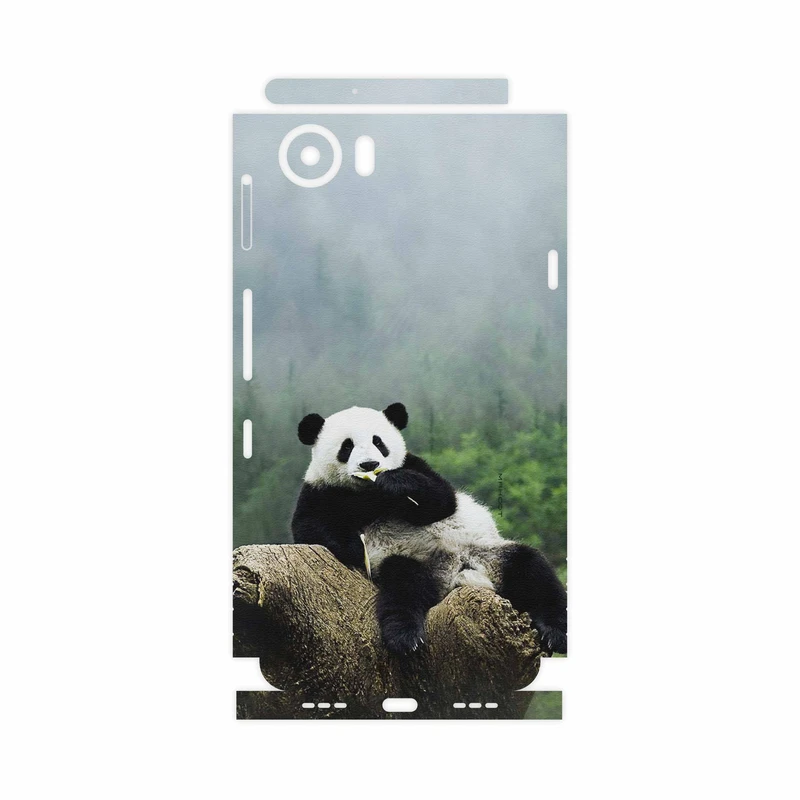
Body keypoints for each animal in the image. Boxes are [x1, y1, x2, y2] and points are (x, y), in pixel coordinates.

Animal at [292, 403, 567, 655]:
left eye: (378, 442)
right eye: (347, 446)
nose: (370, 464)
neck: (368, 494)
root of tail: (458, 574)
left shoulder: (415, 465)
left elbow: (442, 500)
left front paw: (394, 483)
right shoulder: (320, 491)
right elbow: (309, 528)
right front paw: (354, 547)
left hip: (490, 553)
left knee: (533, 570)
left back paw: (556, 633)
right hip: (414, 562)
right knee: (403, 587)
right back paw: (405, 637)